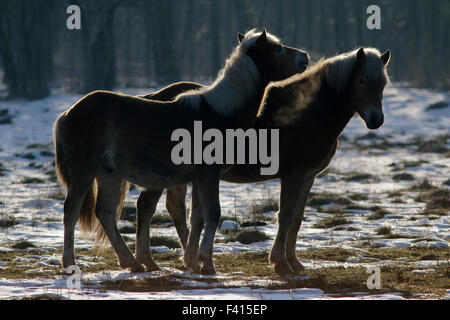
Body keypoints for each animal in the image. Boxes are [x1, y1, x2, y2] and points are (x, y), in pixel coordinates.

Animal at [51, 29, 306, 272]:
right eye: (278, 49)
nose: (304, 57)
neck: (220, 112)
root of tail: (68, 113)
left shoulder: (199, 178)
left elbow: (198, 218)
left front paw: (193, 261)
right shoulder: (208, 175)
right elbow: (213, 214)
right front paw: (207, 263)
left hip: (109, 174)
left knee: (105, 213)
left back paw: (131, 262)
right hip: (84, 173)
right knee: (71, 211)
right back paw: (70, 262)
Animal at [135, 47, 388, 276]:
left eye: (383, 84)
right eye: (361, 80)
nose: (376, 119)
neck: (311, 111)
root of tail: (154, 98)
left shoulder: (308, 176)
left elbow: (297, 217)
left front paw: (295, 263)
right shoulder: (294, 174)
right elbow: (285, 215)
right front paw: (281, 262)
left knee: (176, 209)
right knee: (147, 206)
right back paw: (150, 261)